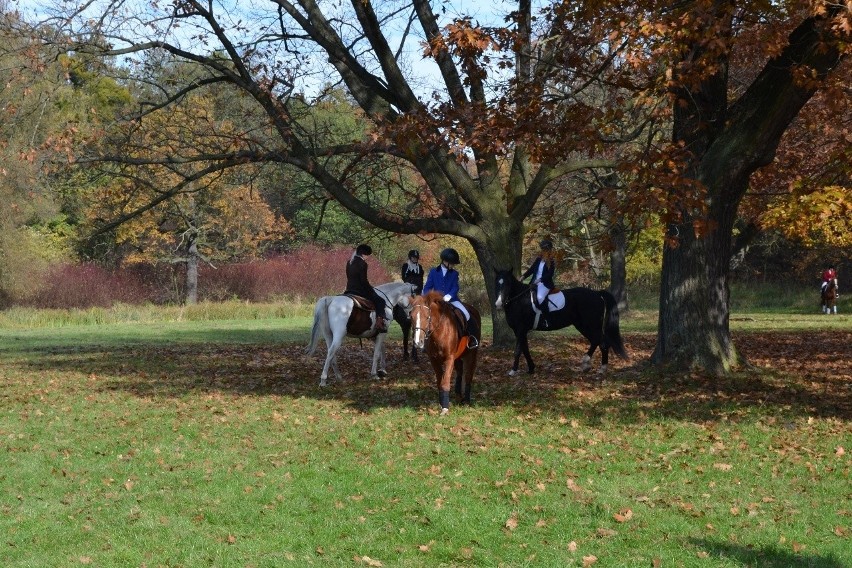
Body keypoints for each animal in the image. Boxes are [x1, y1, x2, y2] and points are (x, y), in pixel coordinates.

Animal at [492, 270, 624, 378]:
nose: (498, 304)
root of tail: (597, 294)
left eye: (508, 284)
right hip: (583, 325)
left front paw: (513, 371)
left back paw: (590, 364)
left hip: (590, 325)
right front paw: (531, 368)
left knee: (600, 341)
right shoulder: (520, 331)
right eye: (497, 283)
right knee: (599, 342)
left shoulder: (520, 329)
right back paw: (599, 368)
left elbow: (518, 350)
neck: (520, 299)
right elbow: (525, 349)